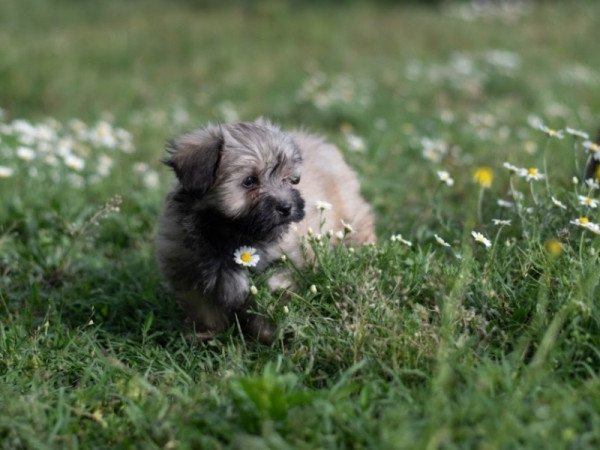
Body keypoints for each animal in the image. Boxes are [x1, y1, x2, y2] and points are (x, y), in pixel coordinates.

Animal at [157, 118, 378, 342]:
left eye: (288, 179)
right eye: (249, 181)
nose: (286, 207)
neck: (232, 236)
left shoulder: (281, 266)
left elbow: (270, 302)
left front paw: (271, 335)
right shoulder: (189, 273)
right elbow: (204, 311)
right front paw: (205, 335)